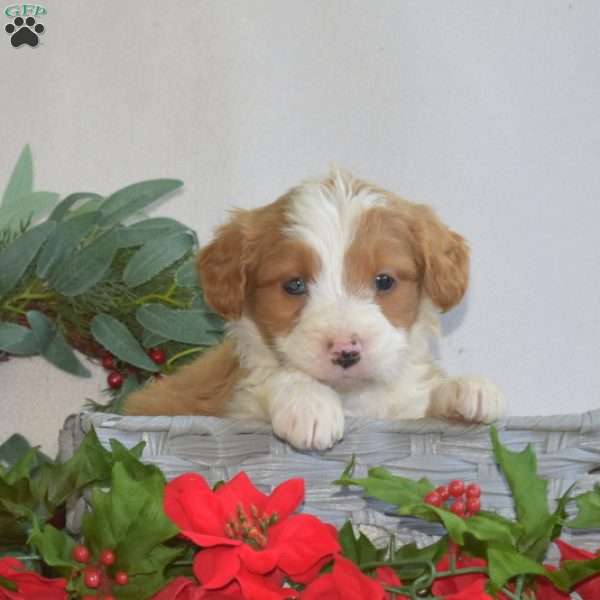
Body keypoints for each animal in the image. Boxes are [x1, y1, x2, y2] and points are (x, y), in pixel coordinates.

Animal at [124, 171, 504, 448]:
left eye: (384, 281)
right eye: (294, 285)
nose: (346, 351)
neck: (352, 399)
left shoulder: (404, 409)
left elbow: (423, 401)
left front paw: (466, 388)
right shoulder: (235, 406)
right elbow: (275, 377)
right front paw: (308, 403)